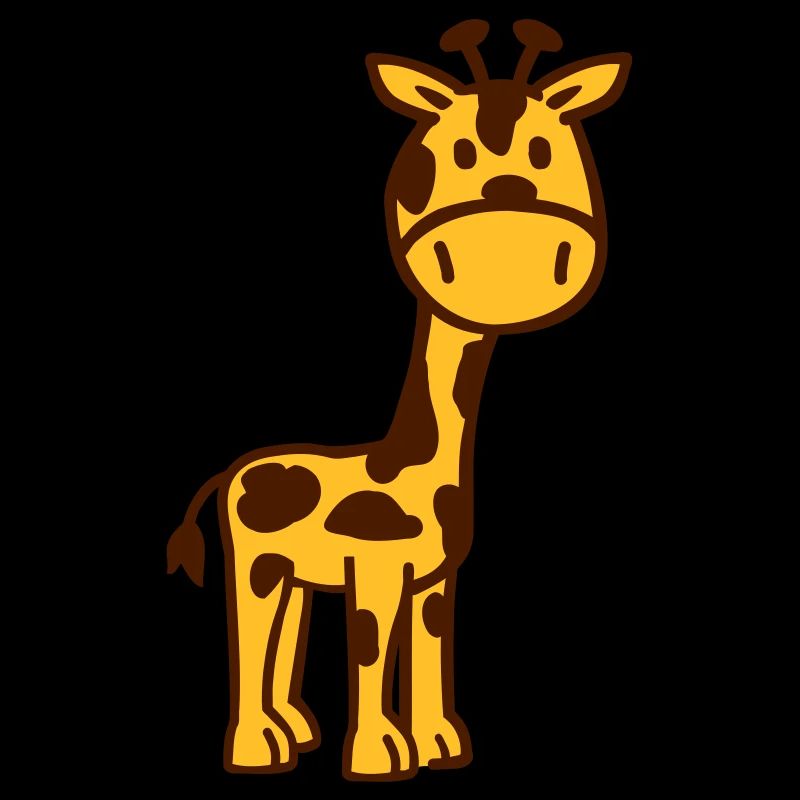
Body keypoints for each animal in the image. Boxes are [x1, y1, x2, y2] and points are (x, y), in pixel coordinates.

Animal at [166, 19, 630, 781]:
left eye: (548, 151)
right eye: (455, 153)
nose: (515, 245)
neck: (413, 462)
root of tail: (233, 472)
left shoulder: (435, 582)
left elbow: (430, 651)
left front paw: (439, 746)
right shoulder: (378, 572)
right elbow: (370, 647)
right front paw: (381, 759)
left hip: (292, 572)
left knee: (284, 634)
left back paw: (293, 733)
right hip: (256, 562)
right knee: (253, 632)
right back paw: (258, 751)